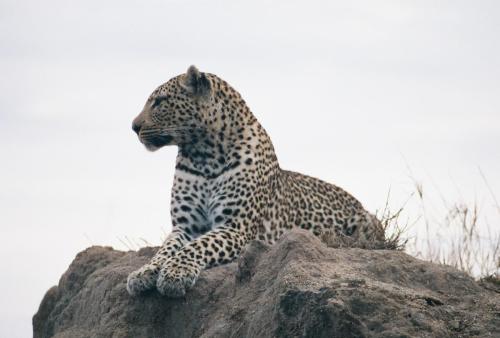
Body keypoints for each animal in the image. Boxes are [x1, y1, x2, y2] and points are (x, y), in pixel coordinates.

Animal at [126, 66, 382, 298]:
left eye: (160, 101)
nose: (134, 127)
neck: (203, 156)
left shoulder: (235, 227)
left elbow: (198, 246)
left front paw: (175, 273)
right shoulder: (184, 227)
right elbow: (165, 249)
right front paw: (145, 271)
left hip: (368, 221)